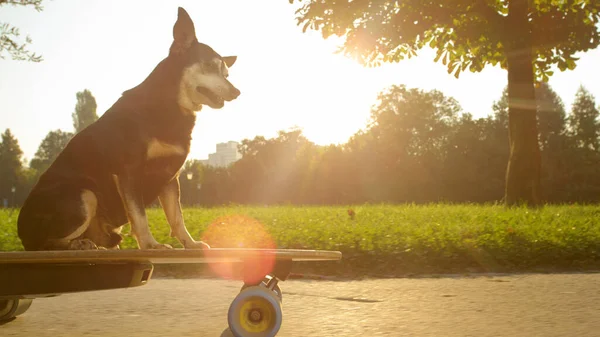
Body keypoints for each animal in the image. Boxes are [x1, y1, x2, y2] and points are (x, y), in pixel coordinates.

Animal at [17, 7, 240, 249]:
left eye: (226, 74)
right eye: (209, 66)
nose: (237, 92)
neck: (170, 107)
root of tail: (21, 232)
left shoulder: (170, 177)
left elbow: (176, 217)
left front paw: (190, 244)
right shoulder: (129, 172)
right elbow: (139, 215)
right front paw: (151, 245)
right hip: (84, 195)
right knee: (43, 243)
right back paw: (78, 245)